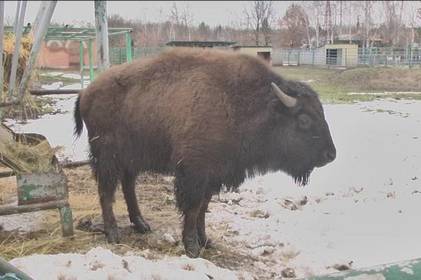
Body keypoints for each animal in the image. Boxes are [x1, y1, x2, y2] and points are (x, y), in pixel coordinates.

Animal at [72, 47, 334, 258]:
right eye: (303, 119)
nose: (330, 155)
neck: (246, 104)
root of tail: (86, 93)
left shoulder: (214, 175)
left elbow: (203, 209)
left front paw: (206, 240)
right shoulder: (194, 173)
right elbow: (192, 208)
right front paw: (192, 248)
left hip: (130, 159)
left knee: (128, 187)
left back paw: (141, 225)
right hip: (108, 157)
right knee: (106, 191)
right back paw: (113, 233)